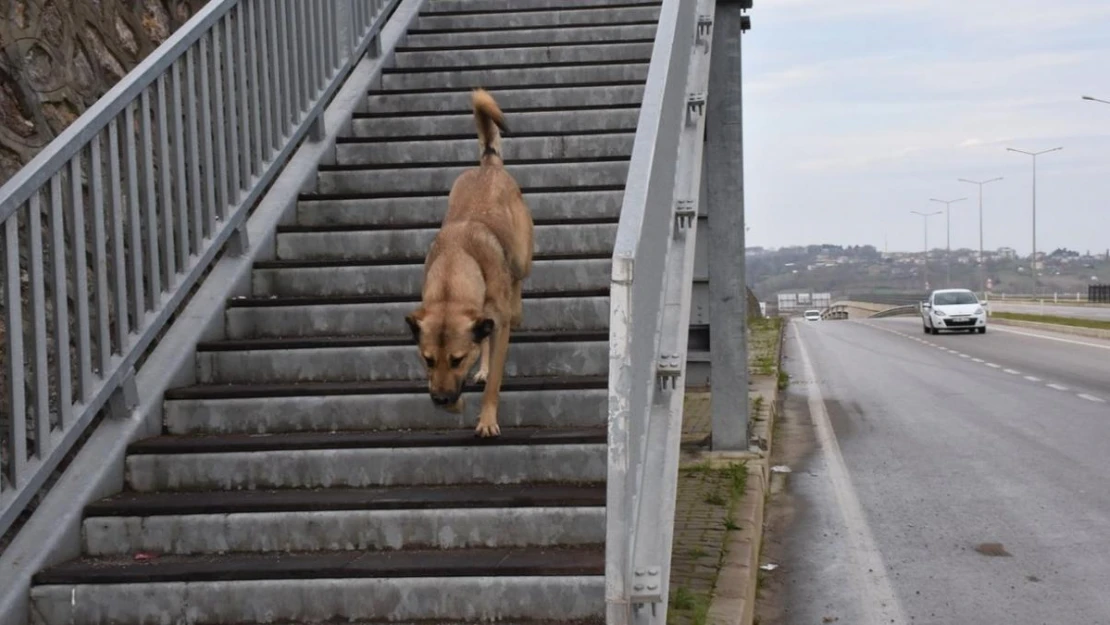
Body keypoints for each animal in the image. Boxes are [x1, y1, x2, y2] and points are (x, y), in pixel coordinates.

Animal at [406, 89, 535, 439]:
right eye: (427, 360)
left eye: (457, 359)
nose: (439, 399)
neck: (454, 272)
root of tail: (488, 164)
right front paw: (457, 403)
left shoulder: (498, 327)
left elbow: (494, 384)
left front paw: (487, 419)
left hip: (521, 257)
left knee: (518, 281)